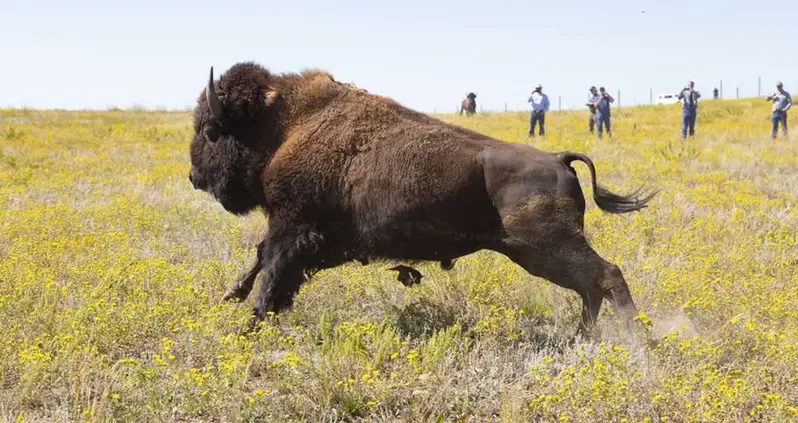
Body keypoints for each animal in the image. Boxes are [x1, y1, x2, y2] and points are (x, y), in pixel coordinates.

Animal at [188, 62, 658, 336]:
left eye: (212, 131)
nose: (194, 177)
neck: (287, 126)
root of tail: (558, 158)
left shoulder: (293, 228)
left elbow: (271, 271)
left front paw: (248, 325)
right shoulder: (310, 238)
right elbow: (261, 261)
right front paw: (231, 300)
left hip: (546, 248)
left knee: (606, 276)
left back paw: (638, 338)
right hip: (539, 253)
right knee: (591, 286)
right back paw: (585, 337)